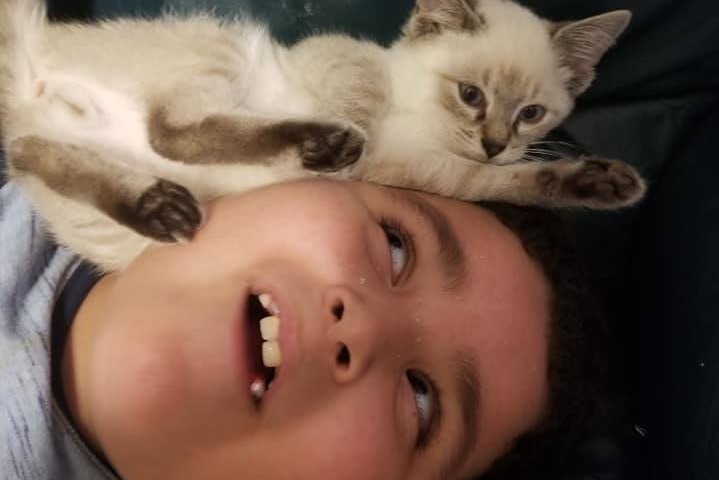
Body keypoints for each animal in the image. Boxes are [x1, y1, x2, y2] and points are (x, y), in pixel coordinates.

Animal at [0, 0, 640, 270]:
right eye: (471, 95)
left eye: (531, 113)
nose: (494, 143)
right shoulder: (337, 62)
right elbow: (360, 100)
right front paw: (349, 139)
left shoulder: (433, 174)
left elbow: (501, 182)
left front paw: (603, 185)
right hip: (219, 45)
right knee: (165, 131)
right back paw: (326, 144)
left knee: (31, 151)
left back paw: (160, 206)